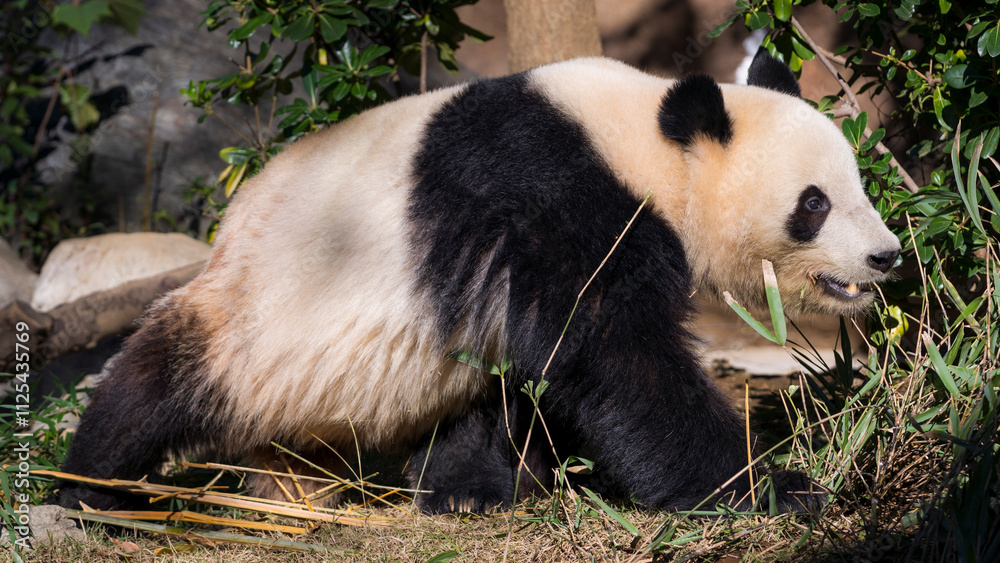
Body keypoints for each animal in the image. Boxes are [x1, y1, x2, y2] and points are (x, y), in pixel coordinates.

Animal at [58, 53, 900, 514]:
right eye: (815, 204)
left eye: (858, 185)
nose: (885, 257)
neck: (644, 143)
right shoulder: (557, 197)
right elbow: (616, 358)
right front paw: (771, 487)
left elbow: (545, 365)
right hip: (253, 316)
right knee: (154, 381)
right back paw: (88, 484)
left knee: (465, 394)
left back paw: (464, 488)